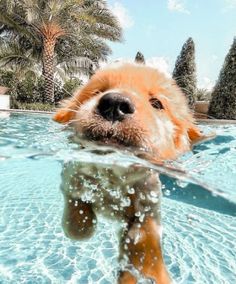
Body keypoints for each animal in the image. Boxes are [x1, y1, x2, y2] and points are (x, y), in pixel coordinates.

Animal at [53, 63, 206, 282]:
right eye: (98, 91)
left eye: (157, 103)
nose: (115, 103)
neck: (113, 174)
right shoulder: (71, 174)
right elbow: (78, 221)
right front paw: (82, 223)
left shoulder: (149, 197)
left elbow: (146, 237)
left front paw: (148, 265)